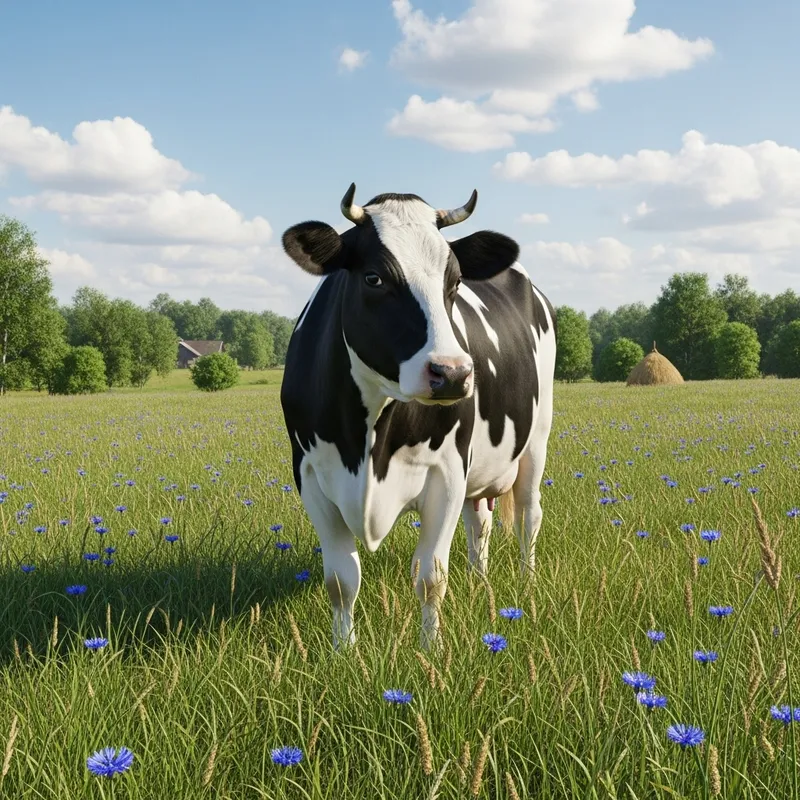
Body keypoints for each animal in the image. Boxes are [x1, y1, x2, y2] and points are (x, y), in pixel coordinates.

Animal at [280, 184, 557, 650]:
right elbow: (341, 580)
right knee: (479, 523)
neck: (366, 443)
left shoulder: (447, 472)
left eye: (455, 281)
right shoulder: (311, 476)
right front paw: (343, 650)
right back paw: (479, 582)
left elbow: (431, 577)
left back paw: (529, 583)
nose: (453, 373)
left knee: (528, 514)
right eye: (374, 278)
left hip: (537, 436)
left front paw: (432, 649)